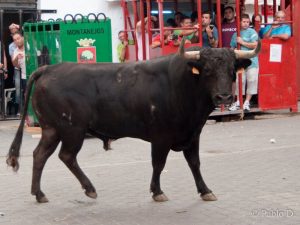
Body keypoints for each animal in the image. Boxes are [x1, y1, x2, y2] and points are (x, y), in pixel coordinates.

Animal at [6, 39, 260, 203]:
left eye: (231, 70)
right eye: (207, 70)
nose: (224, 97)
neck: (182, 84)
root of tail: (50, 68)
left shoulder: (192, 134)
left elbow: (195, 163)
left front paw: (205, 190)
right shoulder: (161, 137)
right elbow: (158, 164)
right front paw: (157, 191)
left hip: (52, 129)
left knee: (40, 155)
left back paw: (39, 194)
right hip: (72, 130)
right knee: (66, 156)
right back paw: (89, 188)